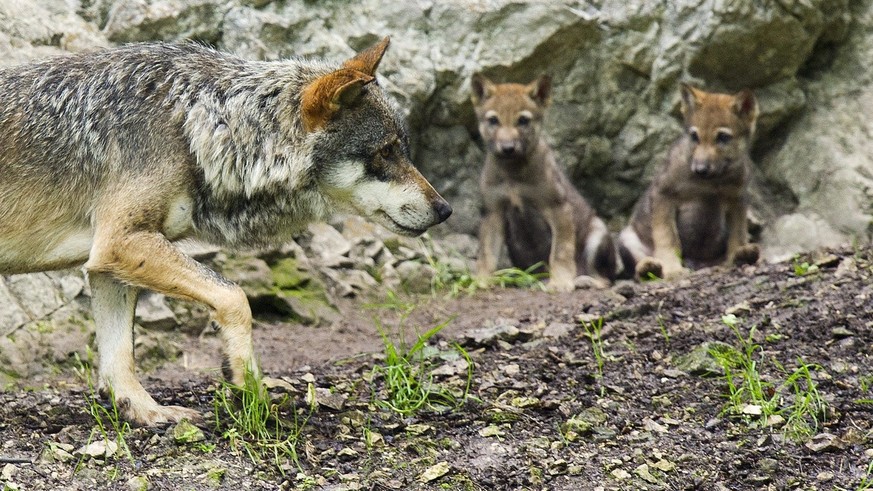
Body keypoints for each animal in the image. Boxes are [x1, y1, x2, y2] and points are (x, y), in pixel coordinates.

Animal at [0, 37, 451, 425]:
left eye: (402, 150)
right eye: (385, 153)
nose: (444, 210)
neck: (196, 125)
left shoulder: (107, 265)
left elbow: (119, 358)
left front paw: (146, 412)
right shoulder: (121, 242)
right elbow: (236, 297)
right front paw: (247, 384)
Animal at [471, 74, 617, 292]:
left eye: (523, 120)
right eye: (493, 120)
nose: (507, 148)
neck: (513, 174)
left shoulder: (558, 208)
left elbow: (560, 251)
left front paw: (561, 282)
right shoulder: (493, 213)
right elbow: (487, 253)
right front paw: (482, 281)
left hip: (597, 235)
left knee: (605, 279)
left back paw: (582, 280)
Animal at [617, 83, 759, 280]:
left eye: (723, 137)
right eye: (694, 136)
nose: (700, 169)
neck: (710, 184)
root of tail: (697, 264)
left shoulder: (737, 201)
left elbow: (737, 236)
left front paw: (737, 253)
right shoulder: (663, 197)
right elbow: (668, 239)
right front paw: (672, 269)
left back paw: (741, 257)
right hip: (627, 237)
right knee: (638, 270)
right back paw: (649, 267)